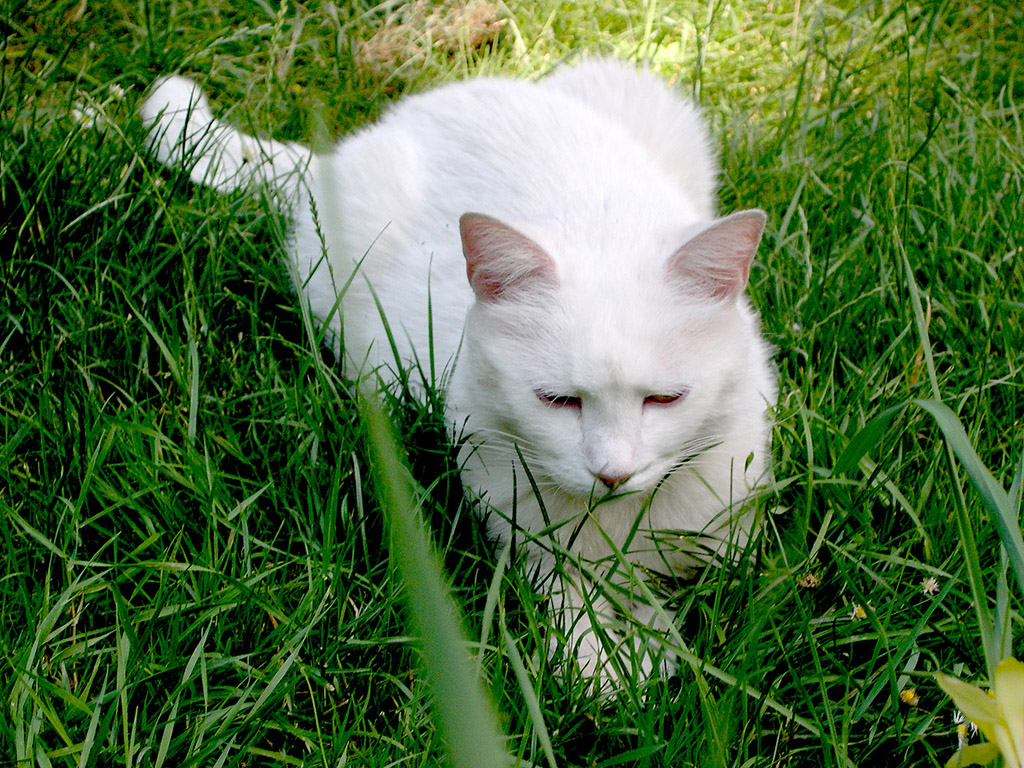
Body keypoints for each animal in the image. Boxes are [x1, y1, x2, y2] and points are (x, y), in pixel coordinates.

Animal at [140, 57, 770, 688]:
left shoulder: (727, 528)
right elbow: (572, 605)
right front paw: (603, 671)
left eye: (665, 399)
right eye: (557, 400)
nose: (612, 474)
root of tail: (372, 134)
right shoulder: (523, 533)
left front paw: (654, 648)